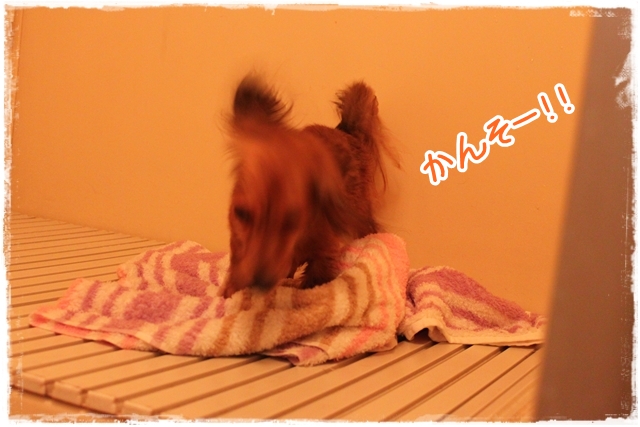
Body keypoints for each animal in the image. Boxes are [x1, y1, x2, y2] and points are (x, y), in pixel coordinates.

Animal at [223, 75, 398, 298]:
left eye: (293, 218)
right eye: (241, 213)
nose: (259, 282)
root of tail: (345, 131)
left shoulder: (324, 255)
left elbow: (314, 280)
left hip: (360, 212)